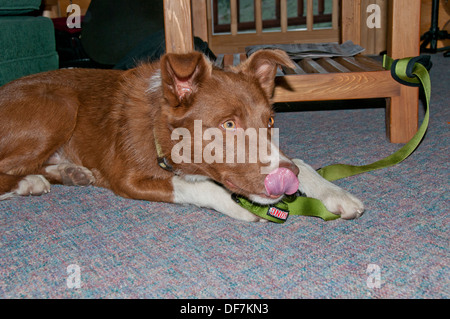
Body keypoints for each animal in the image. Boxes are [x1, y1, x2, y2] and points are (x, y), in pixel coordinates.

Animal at [0, 51, 364, 224]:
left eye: (270, 120)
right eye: (228, 125)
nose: (285, 179)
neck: (160, 129)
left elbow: (299, 161)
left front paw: (334, 192)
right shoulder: (125, 178)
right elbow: (198, 186)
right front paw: (237, 207)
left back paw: (67, 172)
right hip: (60, 105)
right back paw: (29, 182)